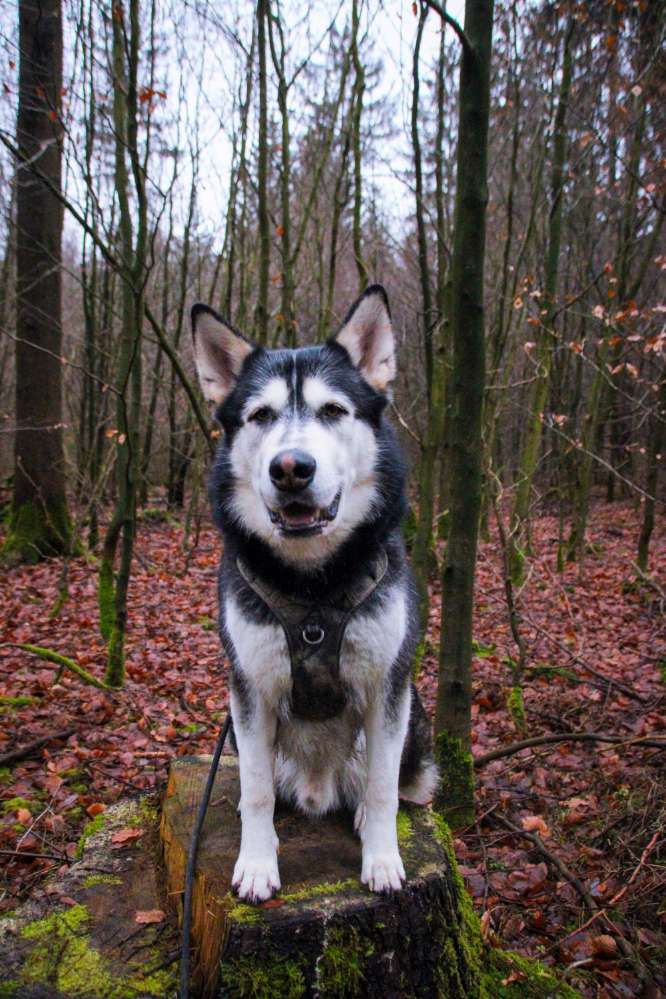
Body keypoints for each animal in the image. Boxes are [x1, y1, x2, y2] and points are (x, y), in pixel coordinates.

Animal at [189, 288, 436, 908]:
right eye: (260, 416)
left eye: (332, 411)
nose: (291, 467)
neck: (313, 582)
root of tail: (320, 788)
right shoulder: (249, 689)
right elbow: (254, 793)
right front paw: (257, 864)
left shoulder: (387, 684)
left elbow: (382, 788)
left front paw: (382, 858)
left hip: (414, 713)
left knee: (393, 783)